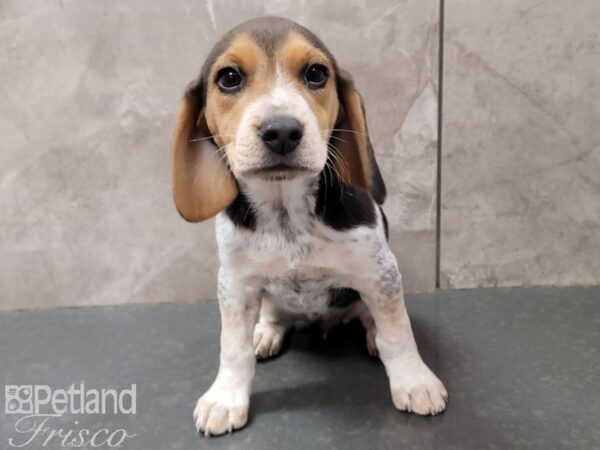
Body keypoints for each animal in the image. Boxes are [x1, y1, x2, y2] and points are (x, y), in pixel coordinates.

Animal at [171, 17, 448, 436]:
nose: (282, 130)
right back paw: (266, 332)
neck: (286, 209)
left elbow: (398, 333)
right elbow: (233, 347)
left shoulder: (380, 272)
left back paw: (371, 334)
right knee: (274, 314)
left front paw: (415, 382)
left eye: (316, 74)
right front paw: (225, 397)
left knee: (372, 319)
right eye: (229, 78)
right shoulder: (235, 283)